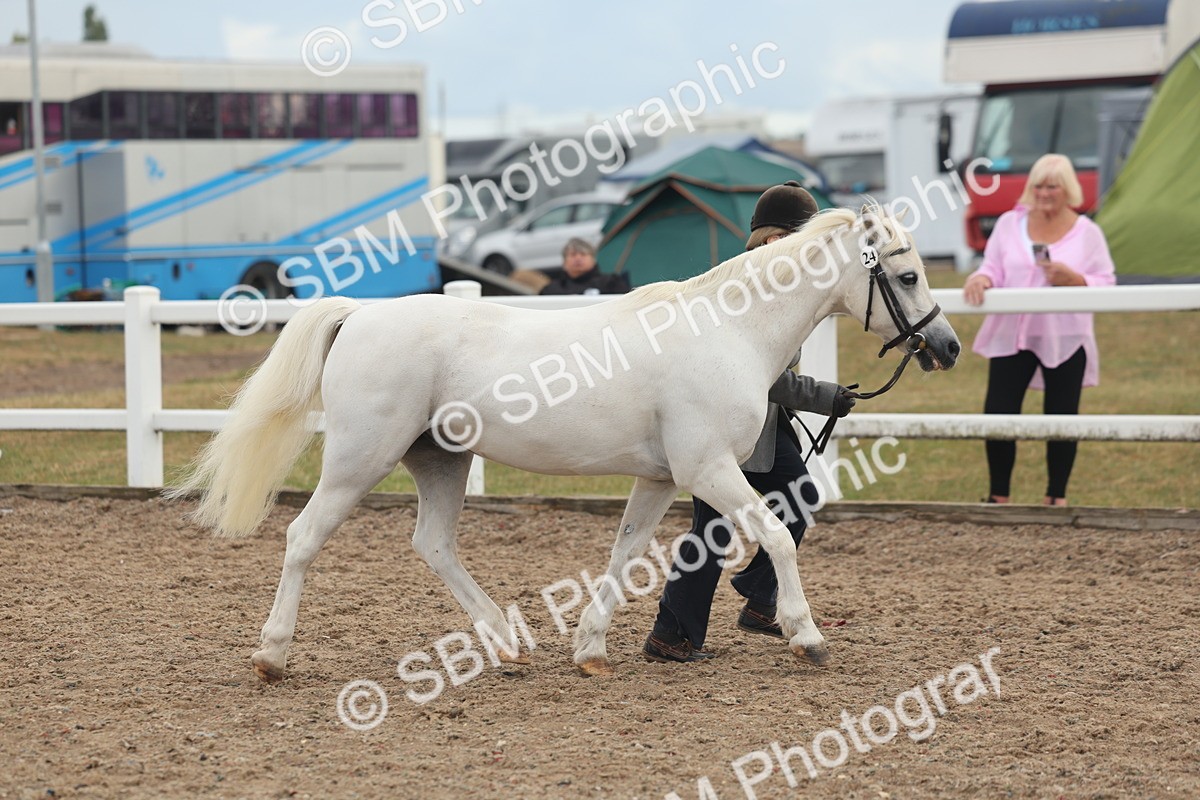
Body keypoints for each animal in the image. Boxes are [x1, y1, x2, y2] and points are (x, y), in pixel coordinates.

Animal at [170, 204, 961, 682]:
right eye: (907, 274)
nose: (948, 347)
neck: (728, 330)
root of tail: (359, 314)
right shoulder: (708, 469)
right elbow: (775, 537)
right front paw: (806, 635)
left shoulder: (661, 477)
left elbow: (625, 554)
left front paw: (590, 648)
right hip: (360, 460)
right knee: (303, 538)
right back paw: (273, 654)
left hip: (441, 459)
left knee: (434, 544)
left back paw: (505, 643)